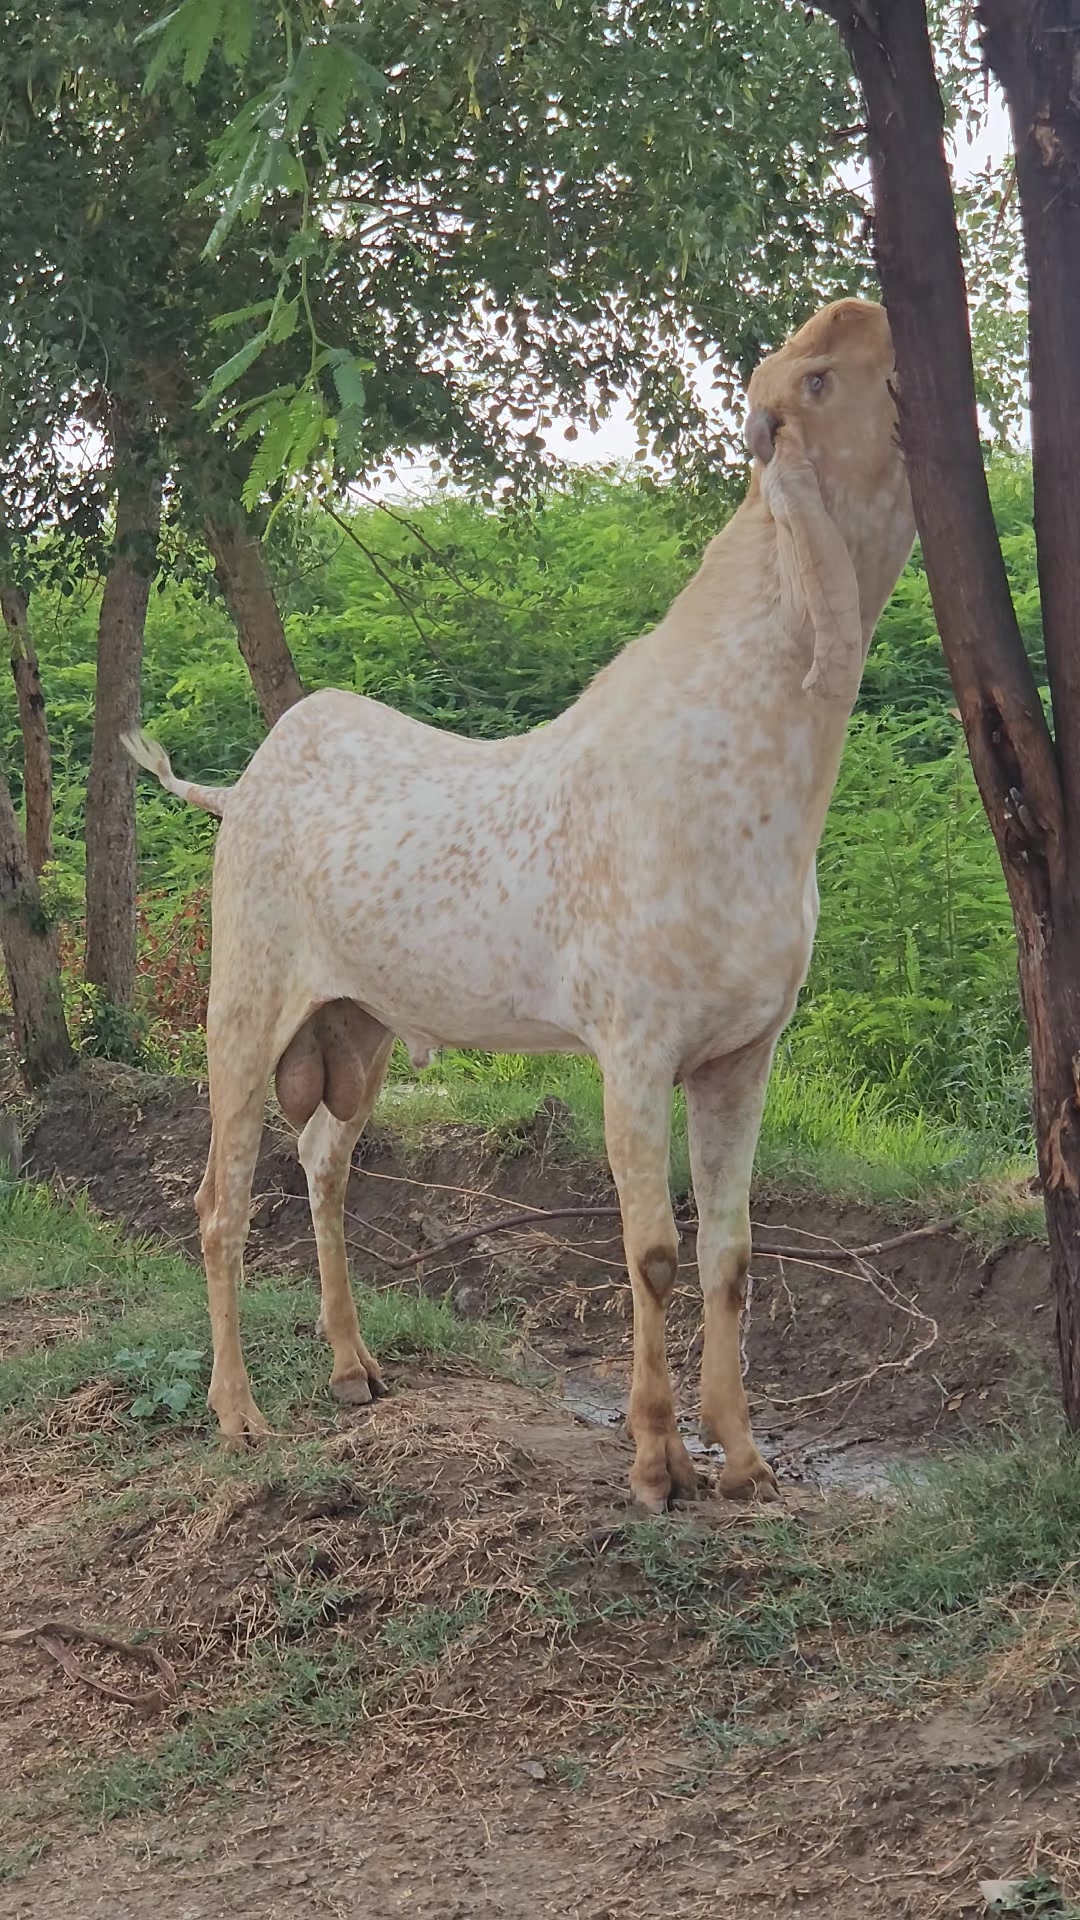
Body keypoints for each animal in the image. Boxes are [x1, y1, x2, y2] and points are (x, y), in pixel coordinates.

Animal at [126, 297, 915, 1512]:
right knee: (220, 1202)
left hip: (358, 1023)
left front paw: (742, 1459)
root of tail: (241, 786)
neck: (740, 766)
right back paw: (238, 1415)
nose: (884, 316)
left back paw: (354, 1367)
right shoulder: (634, 1047)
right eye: (820, 380)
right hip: (244, 1000)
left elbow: (732, 1254)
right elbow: (653, 1252)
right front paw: (654, 1463)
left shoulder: (744, 1053)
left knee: (324, 1161)